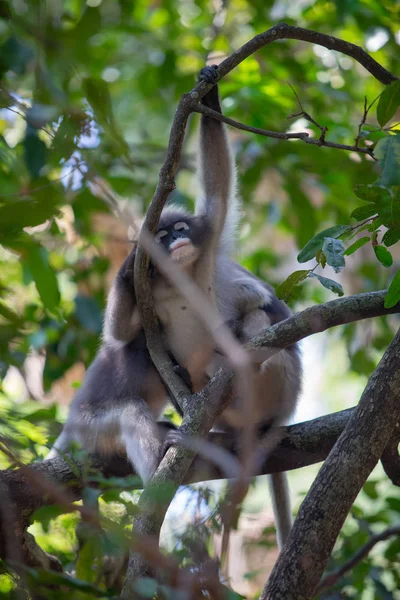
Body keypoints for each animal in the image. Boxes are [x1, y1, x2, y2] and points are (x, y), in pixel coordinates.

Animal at [47, 67, 300, 548]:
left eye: (181, 230)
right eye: (163, 237)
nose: (175, 241)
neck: (178, 278)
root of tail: (68, 428)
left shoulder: (208, 247)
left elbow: (218, 195)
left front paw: (210, 89)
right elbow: (119, 335)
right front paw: (129, 264)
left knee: (256, 326)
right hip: (92, 428)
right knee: (130, 412)